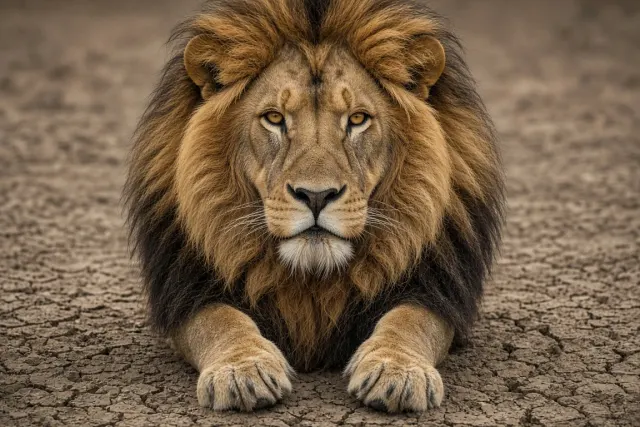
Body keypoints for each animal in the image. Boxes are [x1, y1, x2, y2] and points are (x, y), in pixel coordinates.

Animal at [124, 0, 504, 413]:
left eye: (358, 119)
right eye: (274, 118)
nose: (316, 196)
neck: (312, 280)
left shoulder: (435, 290)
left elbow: (410, 320)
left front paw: (396, 371)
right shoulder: (188, 291)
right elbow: (221, 320)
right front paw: (243, 371)